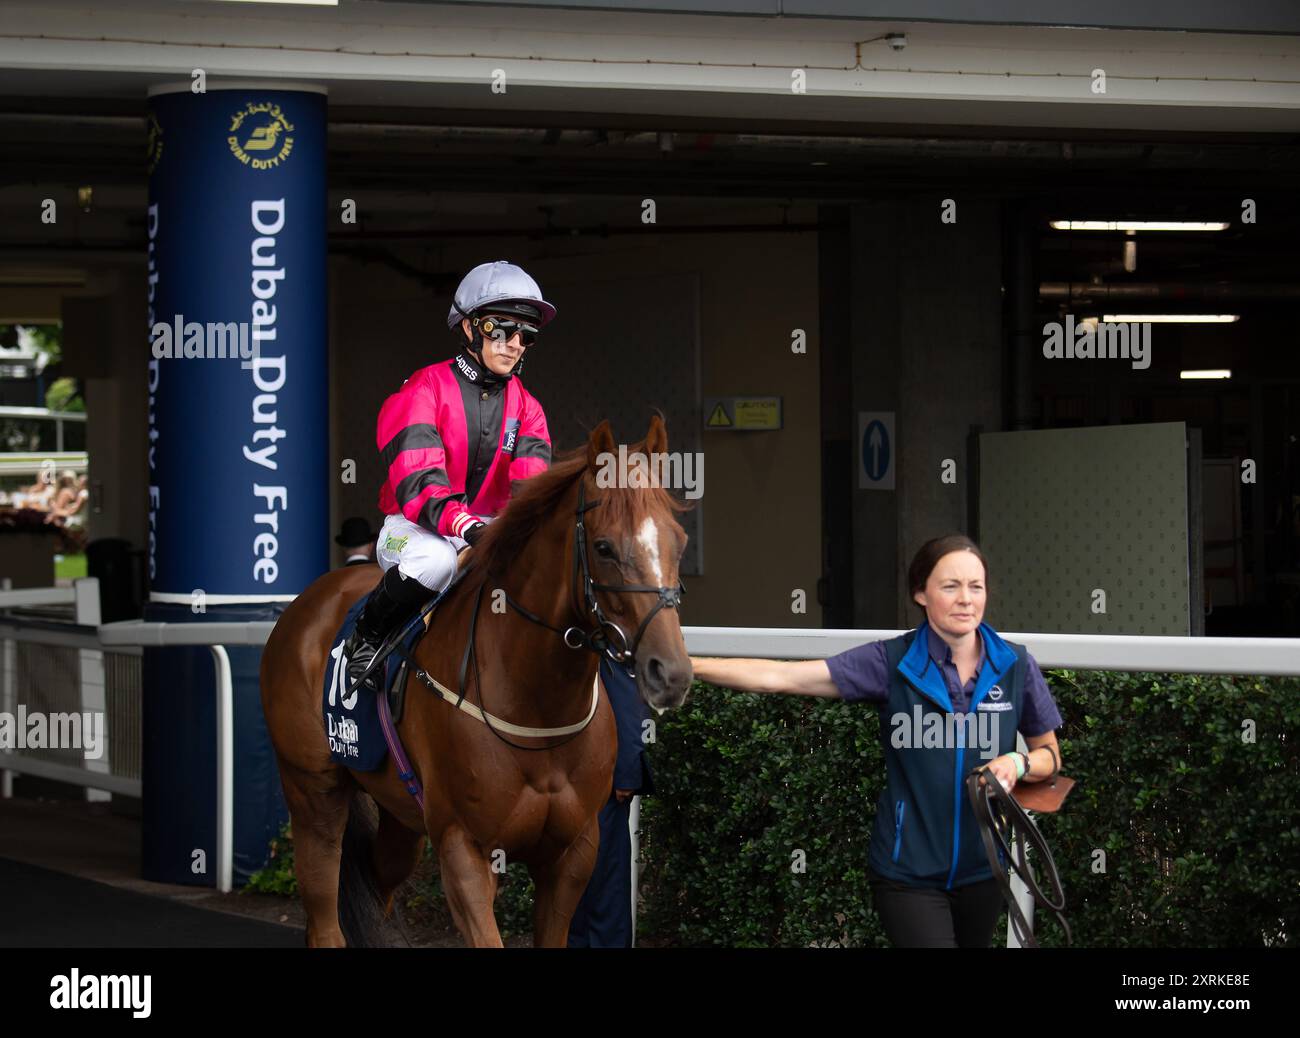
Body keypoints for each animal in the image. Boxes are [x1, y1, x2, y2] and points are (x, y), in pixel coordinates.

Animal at [257, 418, 696, 946]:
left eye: (679, 541)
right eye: (604, 547)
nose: (670, 671)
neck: (536, 708)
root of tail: (304, 605)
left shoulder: (573, 852)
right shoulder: (462, 847)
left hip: (400, 822)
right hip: (313, 793)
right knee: (324, 915)